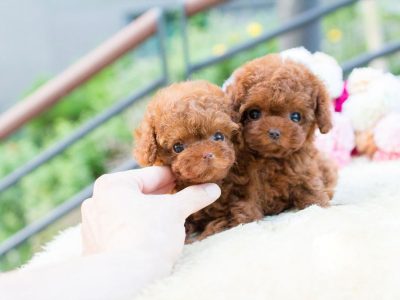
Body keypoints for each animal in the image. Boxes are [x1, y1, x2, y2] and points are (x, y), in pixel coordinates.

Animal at [223, 52, 340, 224]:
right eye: (254, 114)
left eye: (296, 116)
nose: (274, 132)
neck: (271, 159)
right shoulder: (244, 182)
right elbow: (247, 202)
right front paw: (248, 221)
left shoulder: (303, 169)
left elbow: (310, 188)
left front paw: (318, 206)